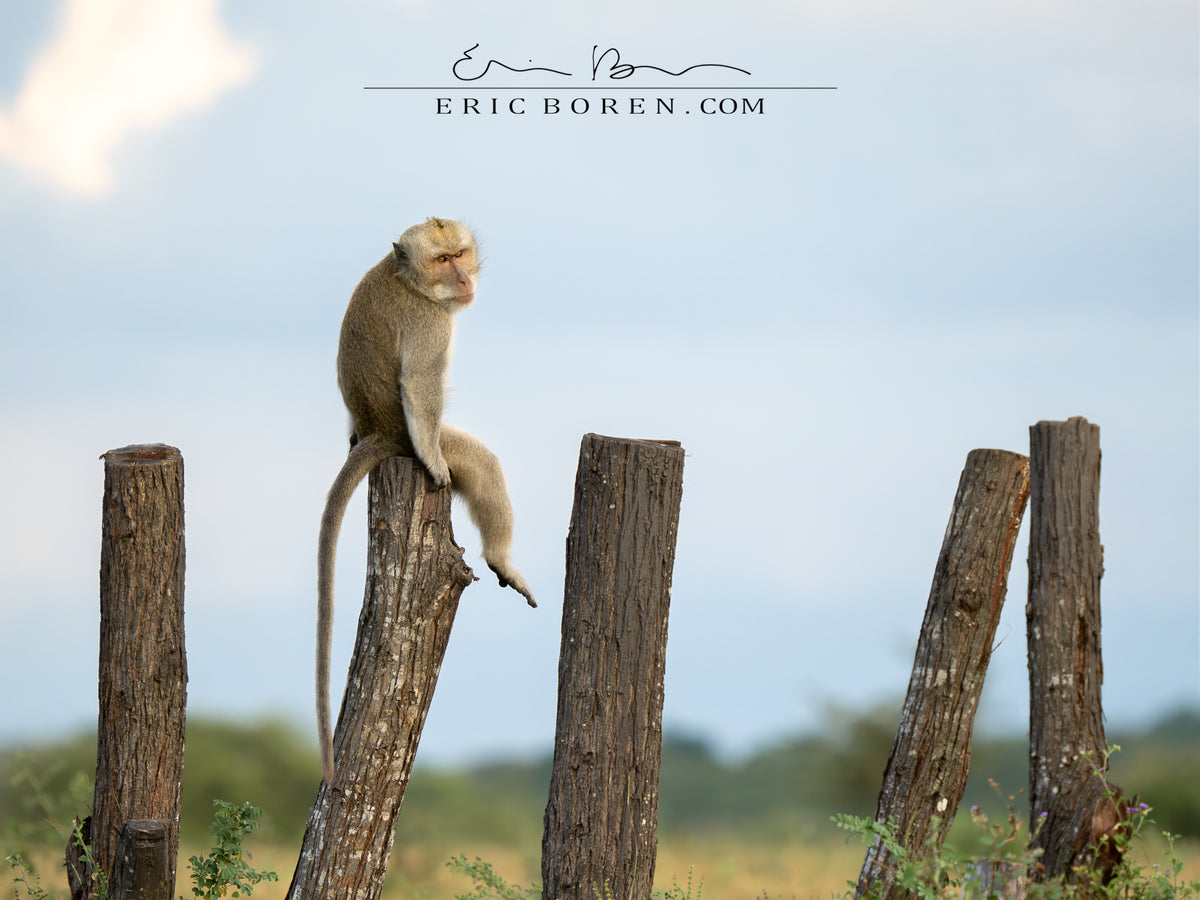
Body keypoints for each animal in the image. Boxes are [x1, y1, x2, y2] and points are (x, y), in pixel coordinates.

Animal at [317, 217, 536, 783]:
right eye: (442, 261)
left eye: (460, 253)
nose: (463, 278)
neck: (412, 281)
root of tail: (379, 433)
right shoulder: (430, 326)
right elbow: (419, 386)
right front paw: (437, 465)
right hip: (411, 439)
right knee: (479, 461)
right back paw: (501, 556)